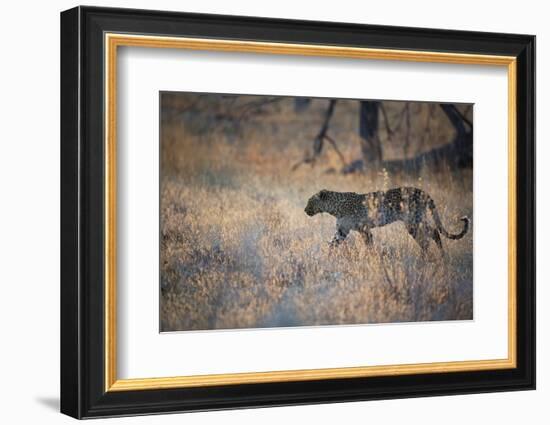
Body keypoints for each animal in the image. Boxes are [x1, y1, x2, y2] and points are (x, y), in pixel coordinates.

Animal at [306, 186, 470, 255]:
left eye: (310, 201)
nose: (305, 210)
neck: (334, 208)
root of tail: (422, 191)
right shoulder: (342, 231)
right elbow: (332, 244)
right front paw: (327, 258)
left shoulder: (364, 229)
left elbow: (369, 245)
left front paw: (371, 258)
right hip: (415, 221)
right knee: (432, 233)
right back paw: (437, 256)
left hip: (413, 221)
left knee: (428, 236)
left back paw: (428, 257)